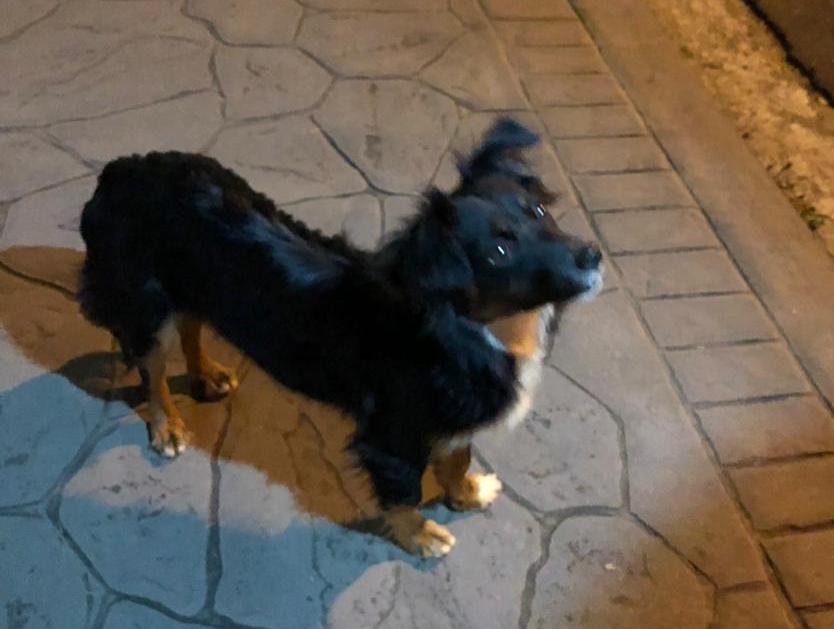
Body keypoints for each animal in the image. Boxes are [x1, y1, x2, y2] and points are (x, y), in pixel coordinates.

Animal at [78, 118, 603, 556]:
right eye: (497, 252)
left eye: (539, 211)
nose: (592, 255)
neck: (480, 332)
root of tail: (122, 169)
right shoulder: (391, 437)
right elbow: (405, 493)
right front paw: (420, 536)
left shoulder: (453, 416)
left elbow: (457, 458)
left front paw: (467, 493)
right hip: (148, 305)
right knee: (152, 370)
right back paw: (167, 424)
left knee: (191, 324)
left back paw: (206, 372)